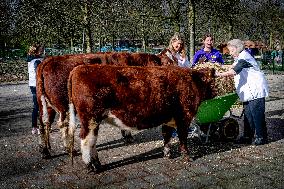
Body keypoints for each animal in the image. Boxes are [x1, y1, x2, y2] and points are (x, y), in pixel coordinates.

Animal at [36, 51, 174, 158]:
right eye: (168, 62)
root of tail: (48, 60)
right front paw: (127, 135)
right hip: (63, 106)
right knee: (62, 125)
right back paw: (69, 149)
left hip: (45, 105)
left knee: (43, 123)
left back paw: (45, 150)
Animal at [67, 65, 216, 173]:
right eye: (213, 83)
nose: (216, 94)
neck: (193, 81)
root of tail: (78, 68)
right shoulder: (184, 117)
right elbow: (183, 139)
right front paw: (187, 157)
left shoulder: (168, 118)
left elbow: (166, 135)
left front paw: (167, 154)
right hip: (90, 118)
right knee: (86, 141)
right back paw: (91, 167)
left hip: (93, 121)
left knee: (92, 142)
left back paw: (98, 165)